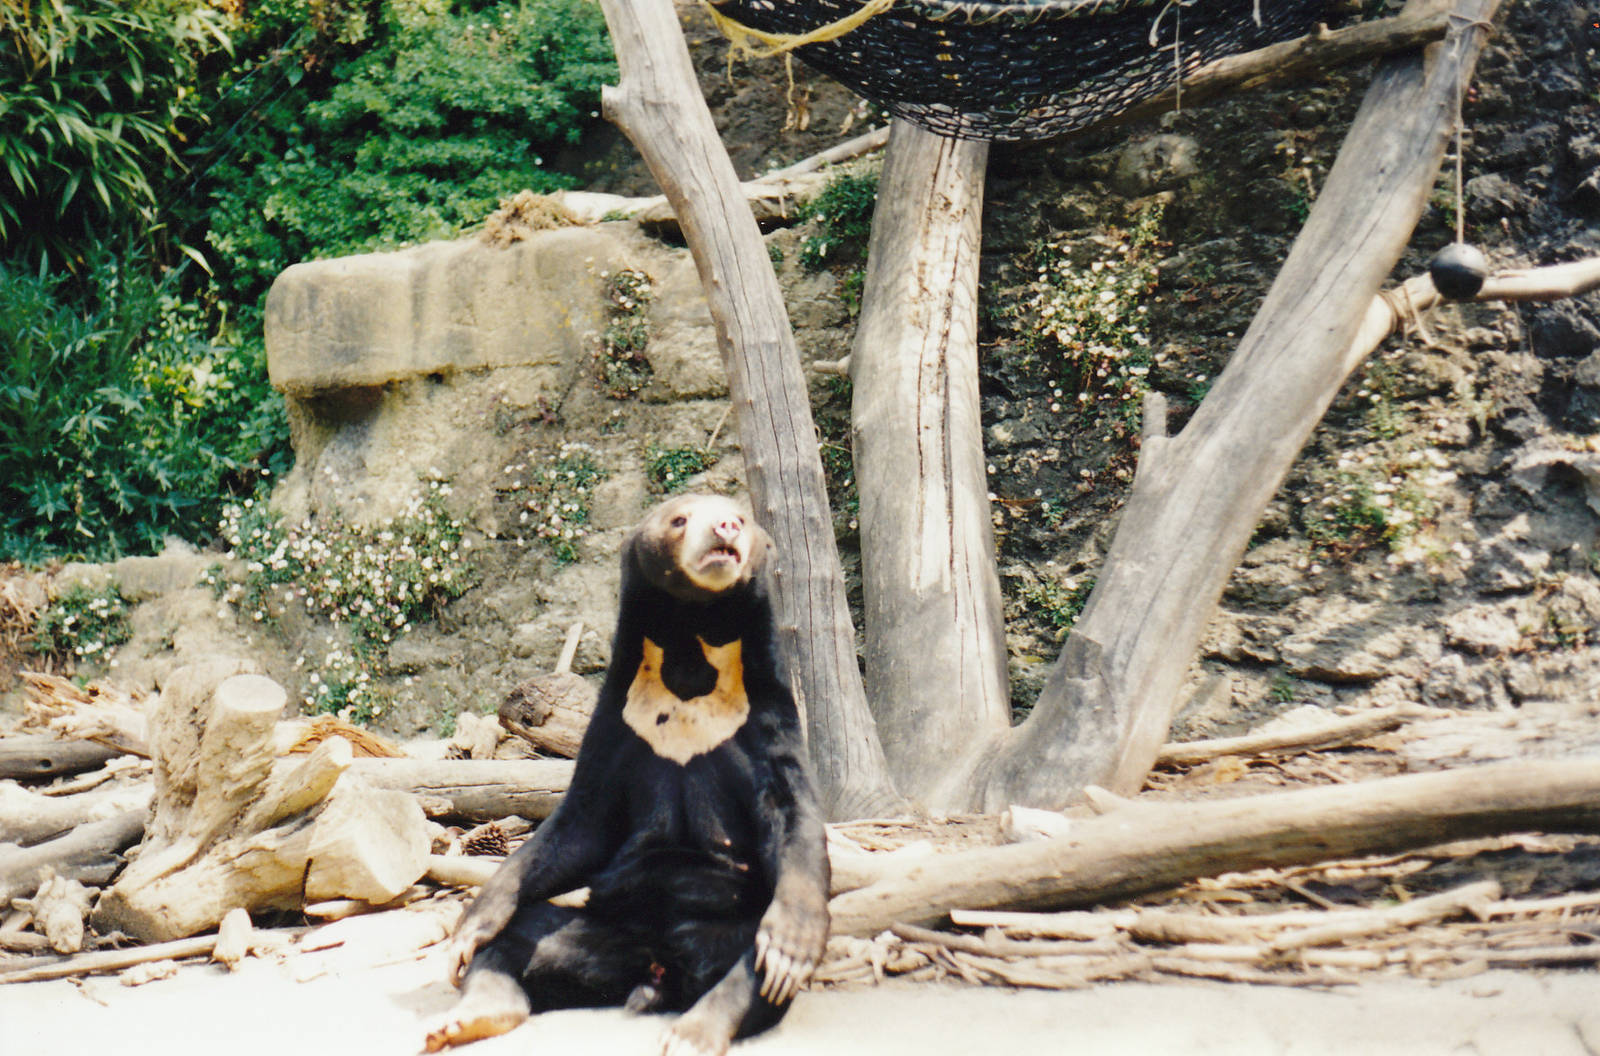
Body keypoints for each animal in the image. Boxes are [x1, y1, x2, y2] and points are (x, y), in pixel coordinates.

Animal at [426, 493, 830, 1056]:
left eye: (741, 517)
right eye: (680, 519)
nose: (726, 528)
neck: (691, 650)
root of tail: (654, 970)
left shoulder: (766, 717)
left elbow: (793, 816)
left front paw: (793, 942)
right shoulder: (618, 720)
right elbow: (580, 825)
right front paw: (467, 932)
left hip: (723, 930)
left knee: (752, 964)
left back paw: (695, 1031)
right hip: (601, 924)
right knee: (525, 934)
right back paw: (471, 1014)